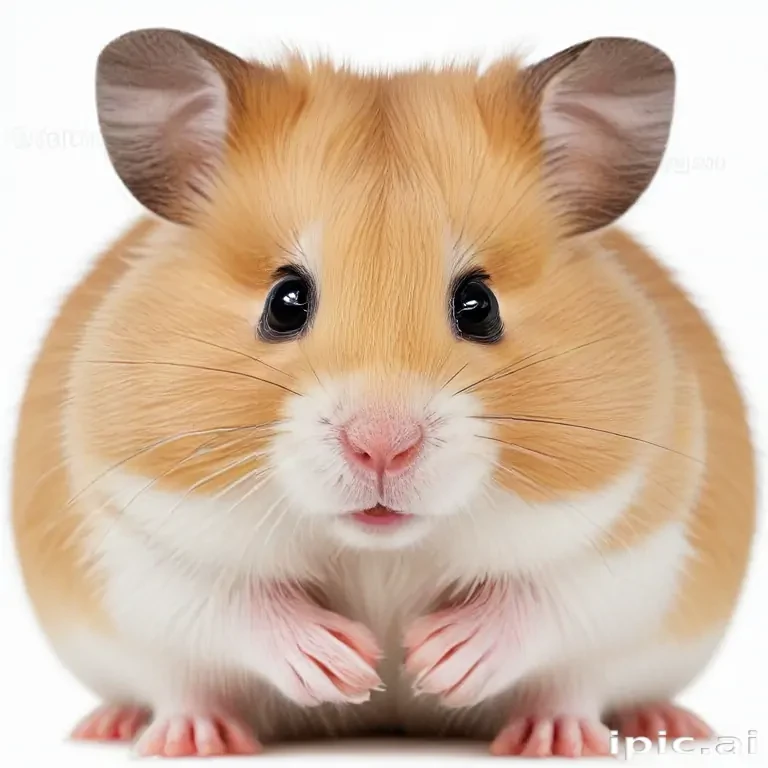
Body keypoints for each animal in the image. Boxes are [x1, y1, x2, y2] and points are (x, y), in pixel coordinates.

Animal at [12, 28, 756, 758]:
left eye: (480, 306)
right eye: (285, 301)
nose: (381, 449)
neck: (383, 549)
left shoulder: (640, 532)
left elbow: (549, 600)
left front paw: (434, 657)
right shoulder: (133, 535)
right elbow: (225, 603)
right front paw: (348, 663)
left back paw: (594, 733)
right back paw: (163, 734)